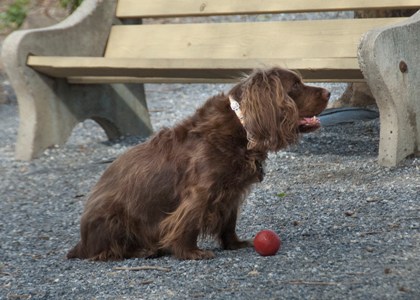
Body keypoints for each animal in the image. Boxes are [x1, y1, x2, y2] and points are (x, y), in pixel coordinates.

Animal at [67, 67, 330, 260]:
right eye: (295, 86)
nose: (328, 92)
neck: (242, 127)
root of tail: (81, 242)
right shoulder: (201, 192)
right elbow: (189, 221)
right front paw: (191, 252)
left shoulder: (232, 192)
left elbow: (229, 222)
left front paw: (235, 244)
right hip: (113, 216)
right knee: (107, 251)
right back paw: (144, 249)